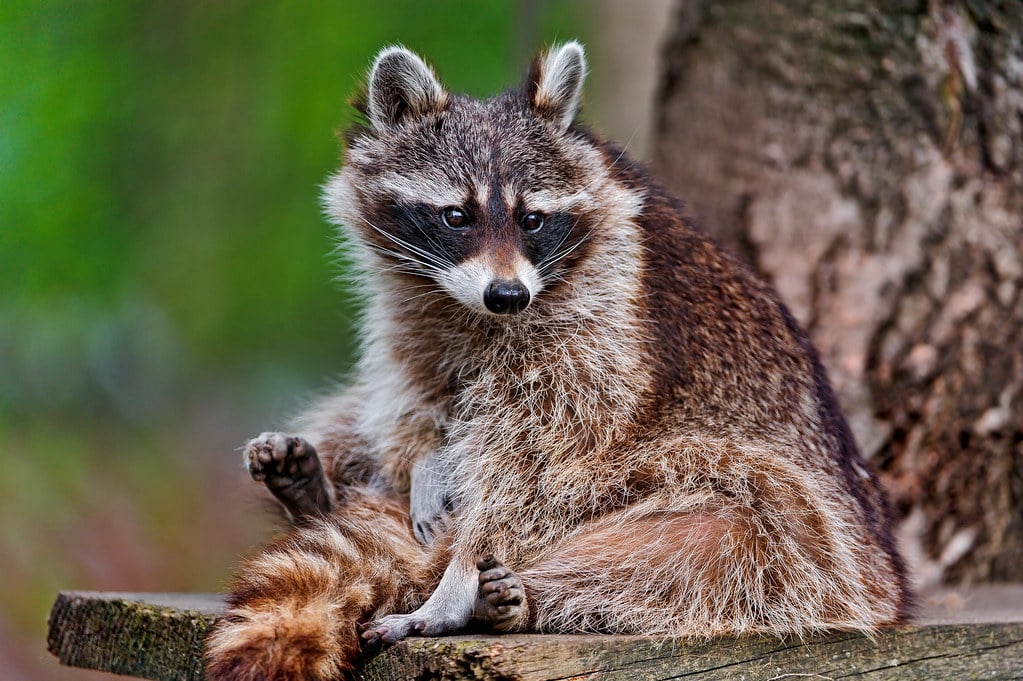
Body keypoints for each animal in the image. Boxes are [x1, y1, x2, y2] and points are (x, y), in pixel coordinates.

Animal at [205, 42, 912, 681]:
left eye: (534, 220)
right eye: (456, 215)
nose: (508, 294)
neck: (473, 311)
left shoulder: (598, 322)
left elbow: (540, 456)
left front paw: (459, 571)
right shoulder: (413, 309)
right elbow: (420, 395)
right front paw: (427, 462)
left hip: (818, 540)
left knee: (733, 532)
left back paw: (499, 594)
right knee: (358, 411)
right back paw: (315, 492)